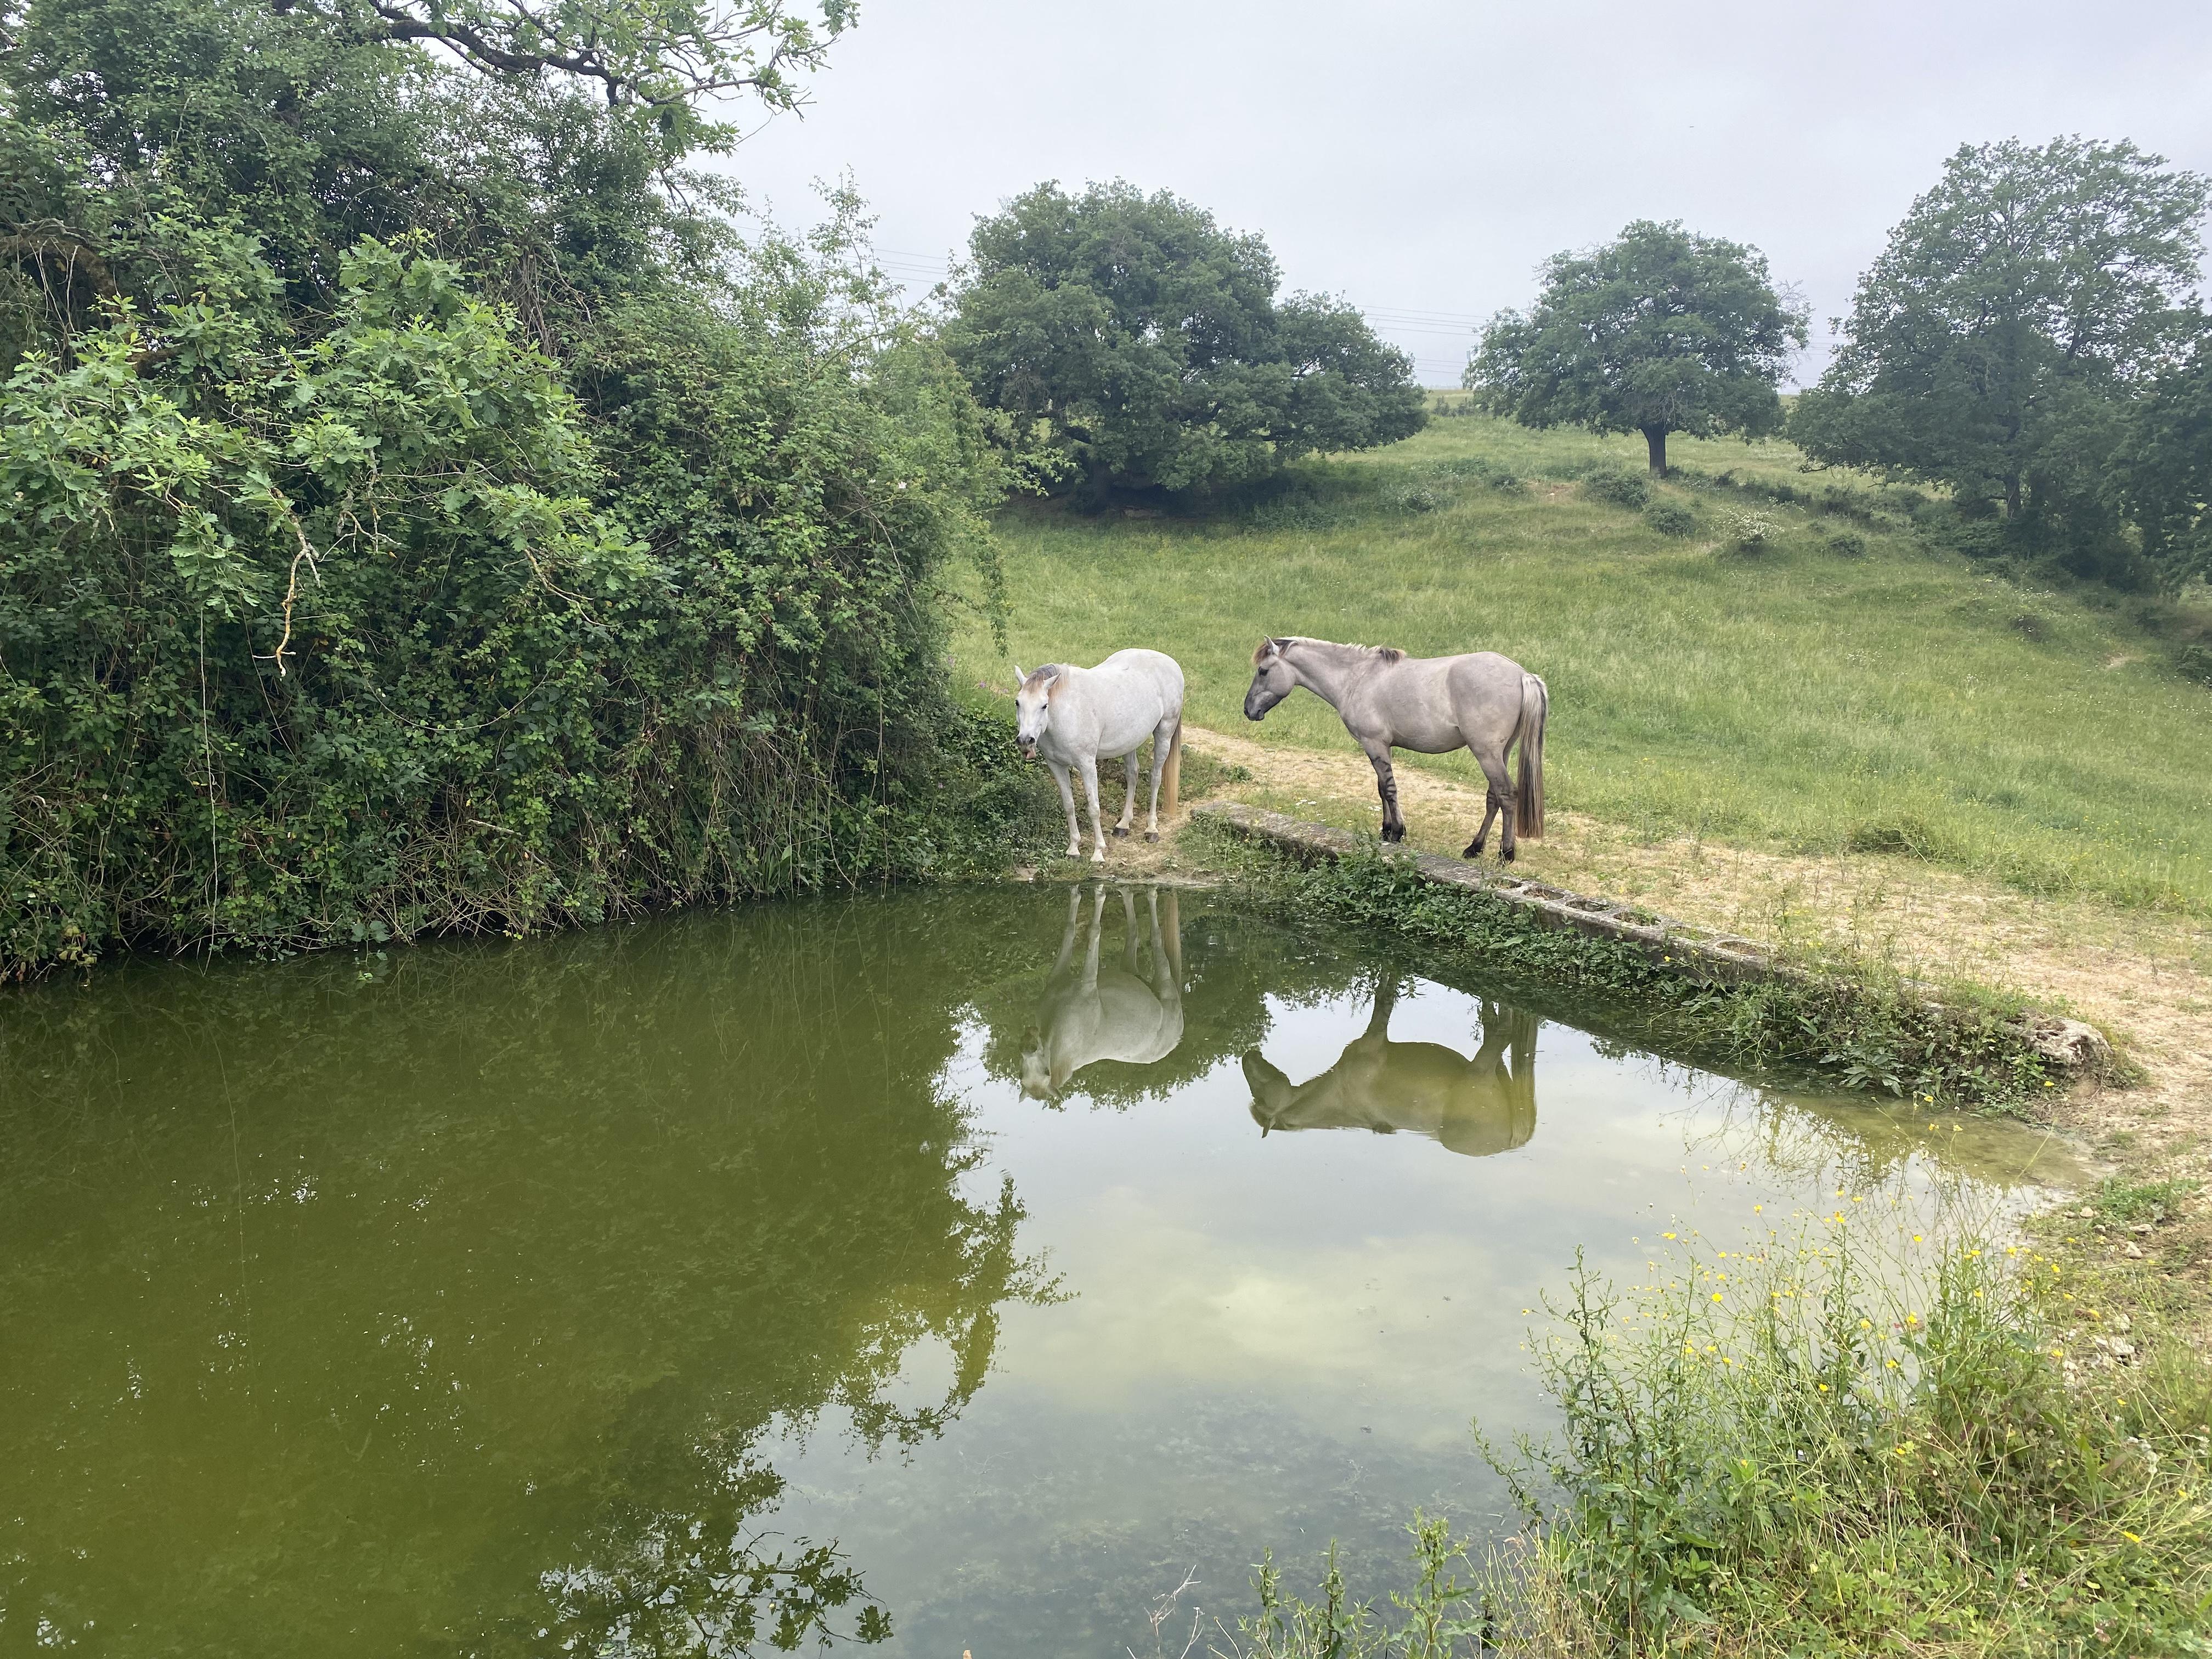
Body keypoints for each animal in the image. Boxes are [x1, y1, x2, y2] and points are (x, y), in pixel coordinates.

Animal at [1017, 650, 1186, 862]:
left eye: (1044, 705)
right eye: (1018, 703)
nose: (1025, 740)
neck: (1068, 711)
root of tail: (1170, 662)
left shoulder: (1087, 766)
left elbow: (1094, 808)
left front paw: (1098, 852)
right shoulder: (1056, 765)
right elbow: (1069, 806)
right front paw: (1073, 849)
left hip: (1164, 732)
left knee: (1155, 778)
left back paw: (1151, 829)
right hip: (1129, 742)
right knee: (1133, 774)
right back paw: (1123, 824)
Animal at [1248, 637, 1557, 862]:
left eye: (1263, 671)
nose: (1248, 710)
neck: (1357, 678)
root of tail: (1524, 675)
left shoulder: (1374, 743)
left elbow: (1389, 788)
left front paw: (1396, 832)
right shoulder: (1379, 746)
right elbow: (1381, 788)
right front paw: (1386, 831)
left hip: (1486, 753)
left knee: (1507, 795)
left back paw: (1506, 854)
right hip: (1498, 753)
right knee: (1494, 797)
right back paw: (1475, 848)